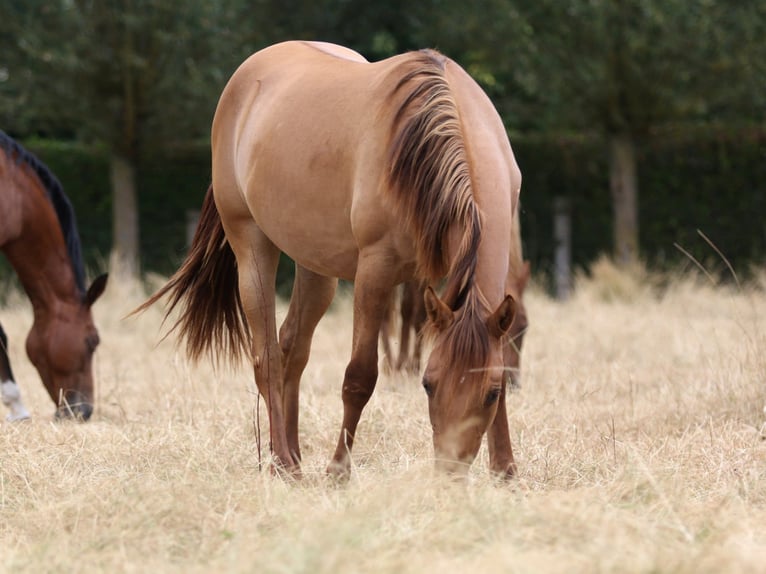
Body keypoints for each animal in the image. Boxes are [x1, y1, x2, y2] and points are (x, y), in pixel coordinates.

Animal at [140, 41, 523, 478]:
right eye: (428, 383)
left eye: (490, 392)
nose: (449, 470)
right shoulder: (374, 272)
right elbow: (360, 376)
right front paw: (339, 470)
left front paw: (506, 471)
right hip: (251, 248)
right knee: (267, 358)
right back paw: (283, 462)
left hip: (315, 268)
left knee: (291, 349)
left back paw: (290, 454)